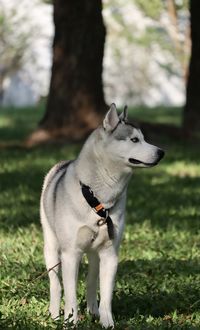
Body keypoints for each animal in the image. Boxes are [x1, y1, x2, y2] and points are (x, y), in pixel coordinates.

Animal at [40, 103, 164, 328]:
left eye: (143, 138)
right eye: (134, 140)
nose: (162, 152)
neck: (98, 200)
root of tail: (61, 164)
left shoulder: (110, 254)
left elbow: (105, 294)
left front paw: (107, 322)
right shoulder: (70, 254)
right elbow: (70, 294)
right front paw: (70, 321)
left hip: (95, 254)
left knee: (91, 280)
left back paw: (93, 311)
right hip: (51, 247)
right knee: (56, 283)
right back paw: (54, 314)